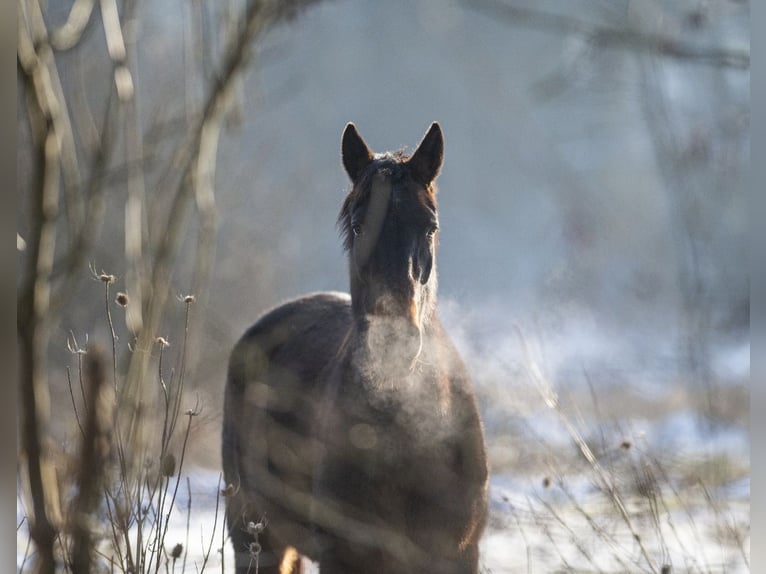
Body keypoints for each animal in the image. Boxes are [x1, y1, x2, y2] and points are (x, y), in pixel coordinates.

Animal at [222, 124, 488, 572]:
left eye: (430, 227)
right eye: (359, 226)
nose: (392, 341)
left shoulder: (456, 556)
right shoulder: (345, 557)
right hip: (254, 535)